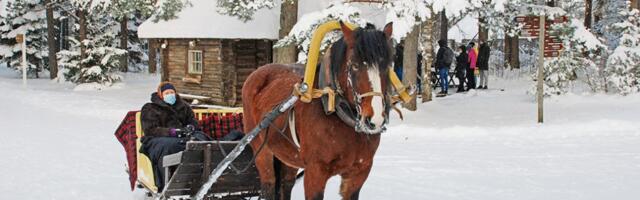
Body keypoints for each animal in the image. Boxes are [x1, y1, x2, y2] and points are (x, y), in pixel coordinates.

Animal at [242, 21, 396, 200]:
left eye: (387, 66)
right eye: (355, 65)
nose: (375, 119)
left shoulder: (359, 172)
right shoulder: (315, 172)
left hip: (289, 156)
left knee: (286, 184)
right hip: (261, 150)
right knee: (268, 185)